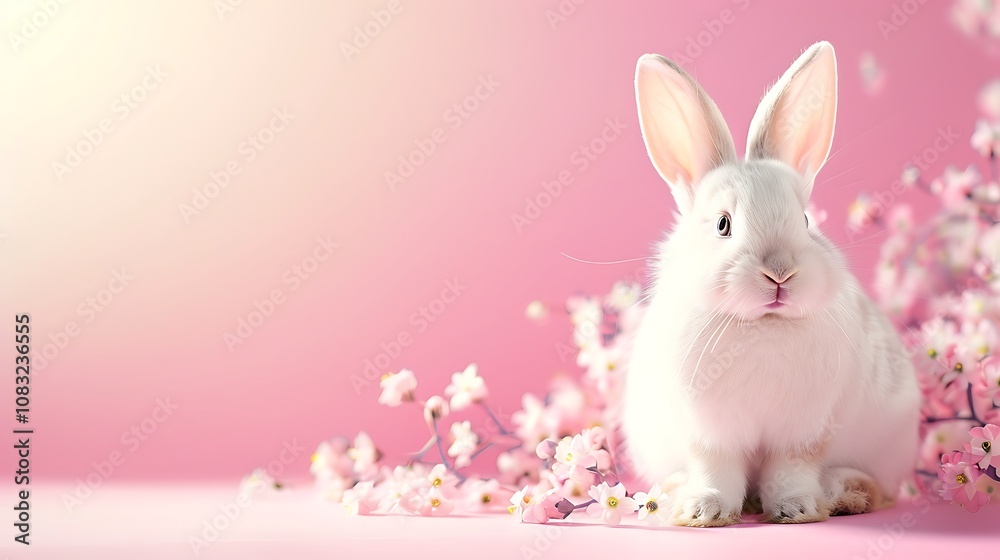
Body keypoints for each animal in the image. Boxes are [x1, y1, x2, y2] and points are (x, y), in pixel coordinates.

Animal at [621, 41, 921, 526]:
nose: (780, 273)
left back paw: (846, 494)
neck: (762, 324)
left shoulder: (805, 431)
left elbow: (790, 469)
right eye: (723, 224)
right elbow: (715, 468)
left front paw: (796, 509)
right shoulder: (709, 432)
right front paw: (704, 511)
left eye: (806, 220)